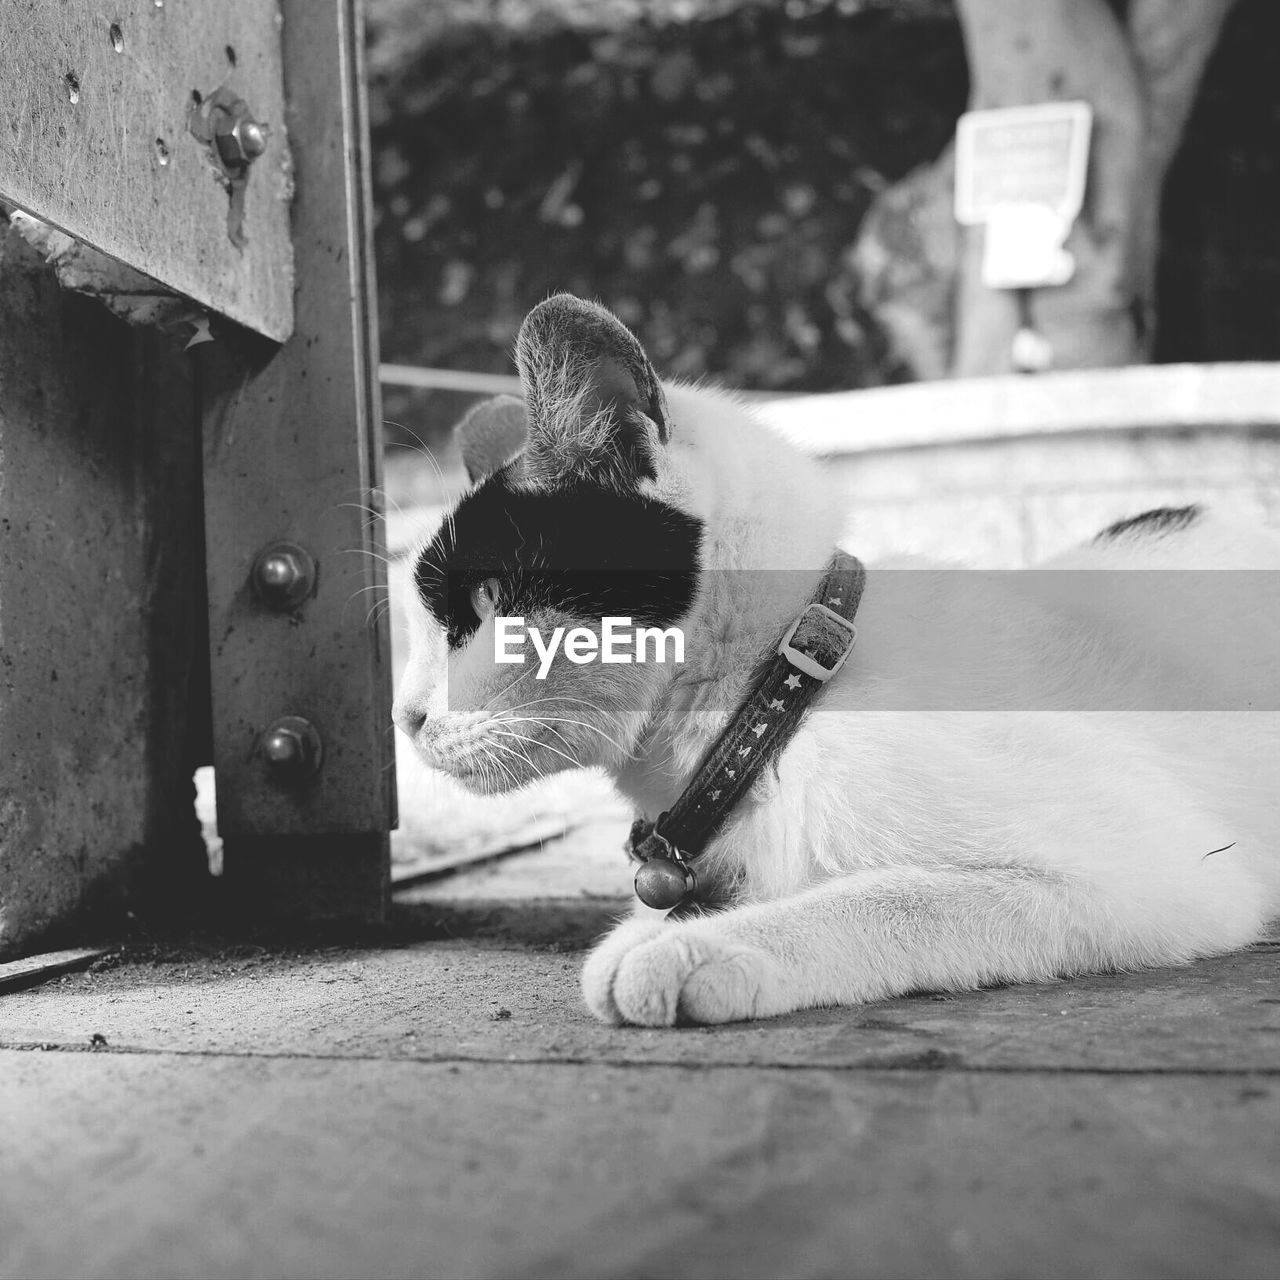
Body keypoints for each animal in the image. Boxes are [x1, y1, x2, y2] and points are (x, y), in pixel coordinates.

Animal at [391, 294, 1280, 1024]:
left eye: (486, 602)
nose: (405, 717)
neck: (774, 703)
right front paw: (666, 925)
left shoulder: (1159, 872)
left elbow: (896, 896)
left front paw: (693, 945)